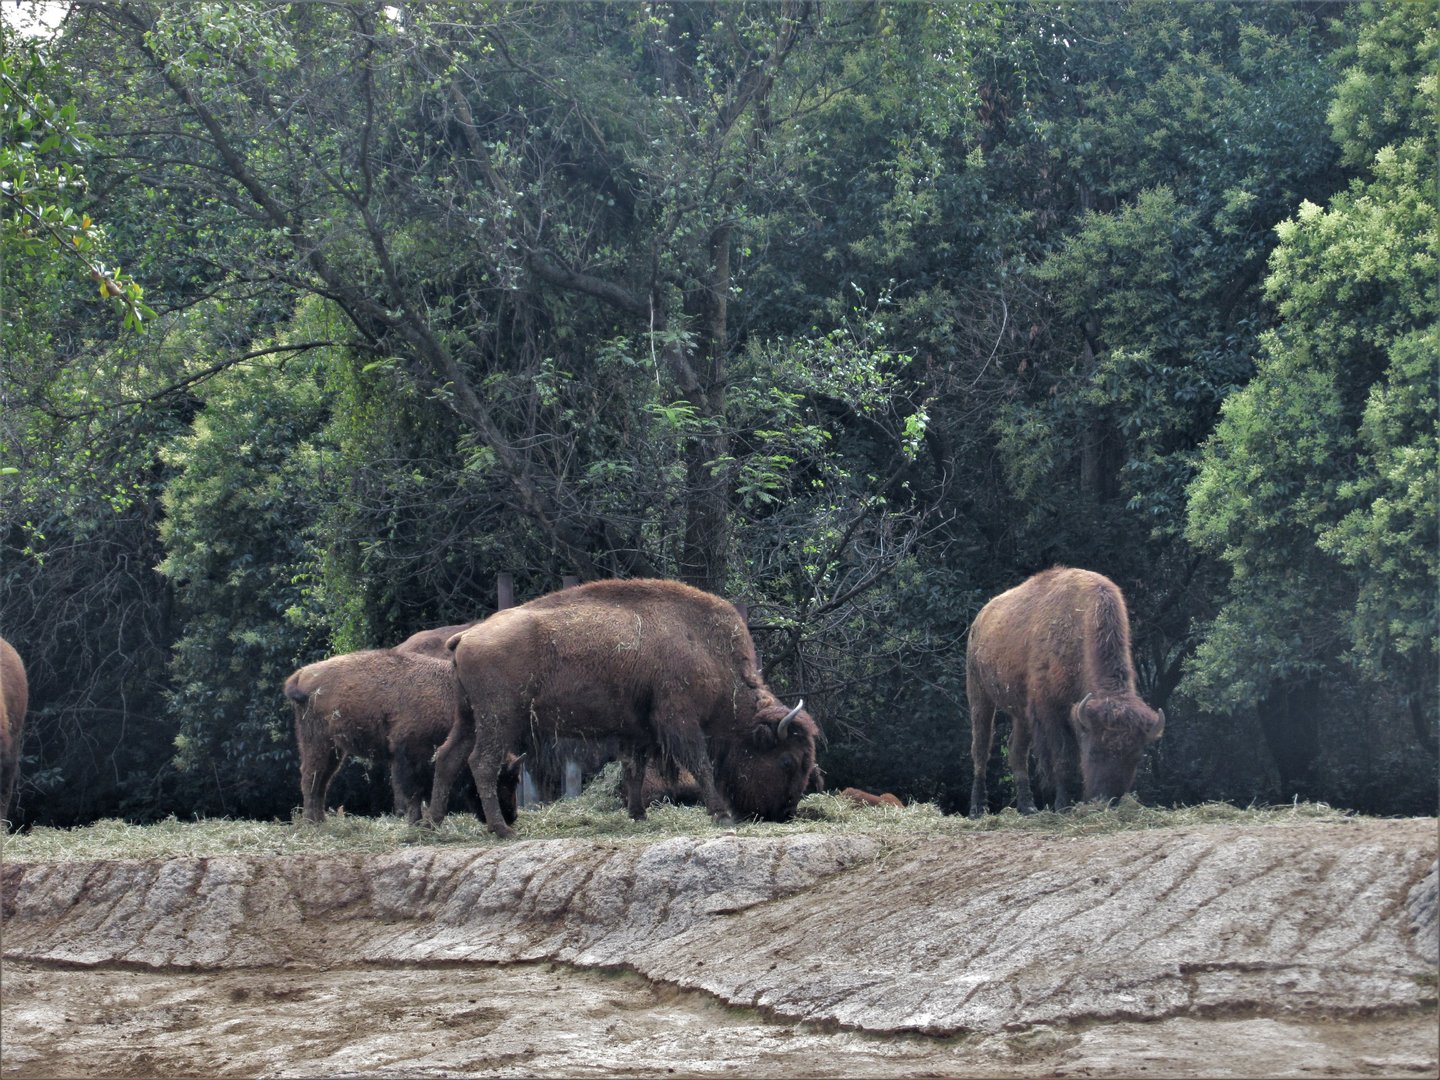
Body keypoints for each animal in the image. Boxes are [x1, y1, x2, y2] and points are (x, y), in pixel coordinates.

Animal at [285, 646, 518, 825]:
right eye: (504, 780)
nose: (512, 816)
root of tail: (302, 673)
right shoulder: (408, 755)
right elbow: (413, 791)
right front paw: (415, 821)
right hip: (317, 743)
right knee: (310, 778)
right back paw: (311, 822)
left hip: (334, 750)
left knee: (322, 781)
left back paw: (320, 821)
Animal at [428, 578, 820, 837]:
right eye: (788, 760)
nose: (786, 812)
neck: (706, 650)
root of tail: (467, 636)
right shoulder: (677, 720)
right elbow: (700, 764)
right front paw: (720, 814)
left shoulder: (638, 730)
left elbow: (635, 769)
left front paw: (638, 814)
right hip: (499, 719)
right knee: (481, 762)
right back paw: (501, 829)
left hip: (469, 718)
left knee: (447, 757)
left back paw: (433, 823)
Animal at [966, 567, 1164, 816]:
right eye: (1094, 751)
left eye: (1136, 757)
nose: (1106, 800)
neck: (1080, 625)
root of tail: (980, 619)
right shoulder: (1051, 710)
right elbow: (1063, 760)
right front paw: (1063, 805)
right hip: (979, 693)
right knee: (981, 748)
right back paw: (977, 808)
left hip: (1021, 713)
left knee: (1016, 751)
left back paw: (1028, 807)